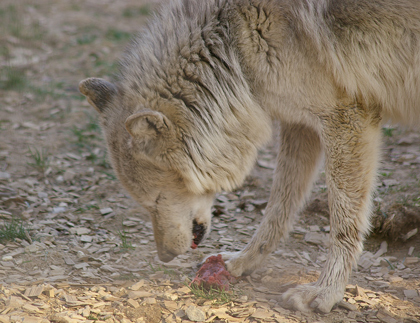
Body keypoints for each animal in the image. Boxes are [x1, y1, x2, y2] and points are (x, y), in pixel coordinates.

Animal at [79, 0, 420, 314]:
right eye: (144, 204)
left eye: (155, 200)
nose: (164, 257)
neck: (235, 47)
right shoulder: (301, 125)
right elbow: (277, 211)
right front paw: (243, 262)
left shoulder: (346, 119)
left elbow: (342, 223)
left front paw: (326, 292)